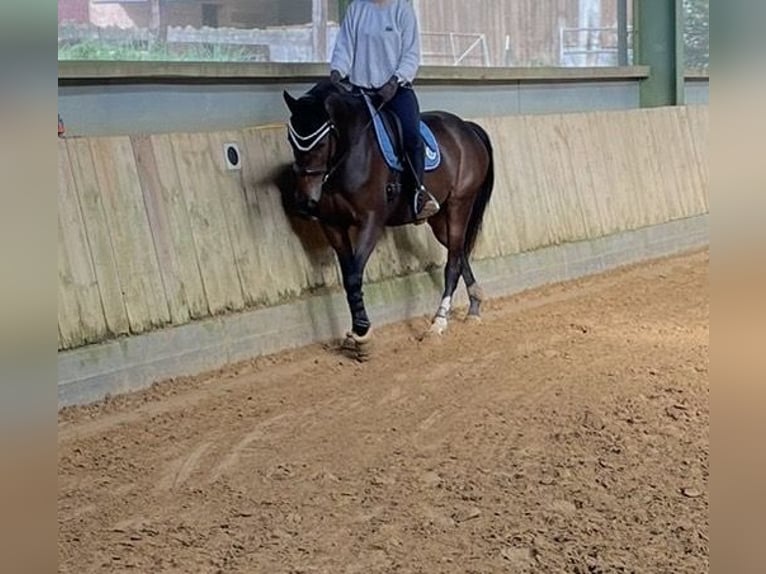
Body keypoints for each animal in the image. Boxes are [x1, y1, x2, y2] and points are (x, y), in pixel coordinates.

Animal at [284, 80, 496, 360]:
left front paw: (362, 334)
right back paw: (474, 306)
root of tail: (466, 128)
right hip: (440, 219)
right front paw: (358, 332)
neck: (350, 153)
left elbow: (355, 276)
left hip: (459, 205)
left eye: (320, 143)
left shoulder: (371, 222)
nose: (304, 201)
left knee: (452, 262)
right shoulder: (333, 226)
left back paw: (438, 322)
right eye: (291, 139)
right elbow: (349, 276)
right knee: (458, 251)